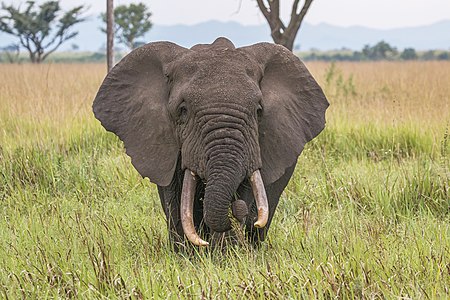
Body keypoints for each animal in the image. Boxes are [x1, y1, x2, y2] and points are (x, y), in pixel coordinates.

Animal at [93, 37, 328, 248]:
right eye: (183, 110)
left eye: (259, 110)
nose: (237, 209)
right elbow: (175, 198)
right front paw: (187, 255)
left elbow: (247, 188)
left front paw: (225, 254)